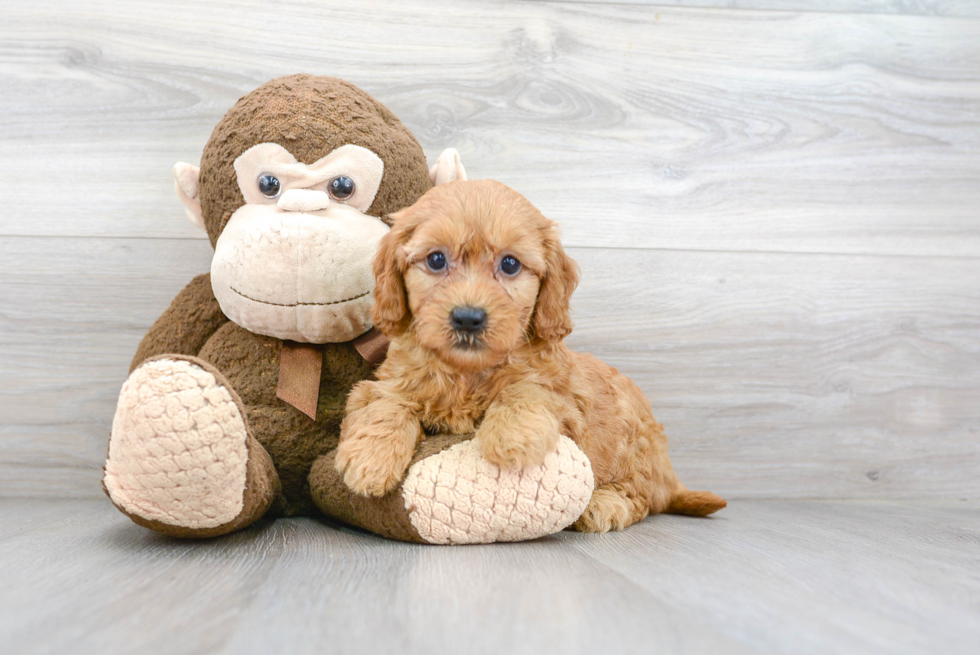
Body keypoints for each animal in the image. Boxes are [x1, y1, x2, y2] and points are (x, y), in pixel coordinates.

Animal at [336, 179, 728, 532]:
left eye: (510, 265)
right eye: (435, 259)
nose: (468, 317)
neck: (468, 371)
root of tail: (669, 475)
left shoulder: (564, 401)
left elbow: (525, 390)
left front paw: (510, 438)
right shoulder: (382, 384)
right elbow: (385, 404)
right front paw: (370, 460)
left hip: (635, 444)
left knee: (642, 498)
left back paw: (604, 505)